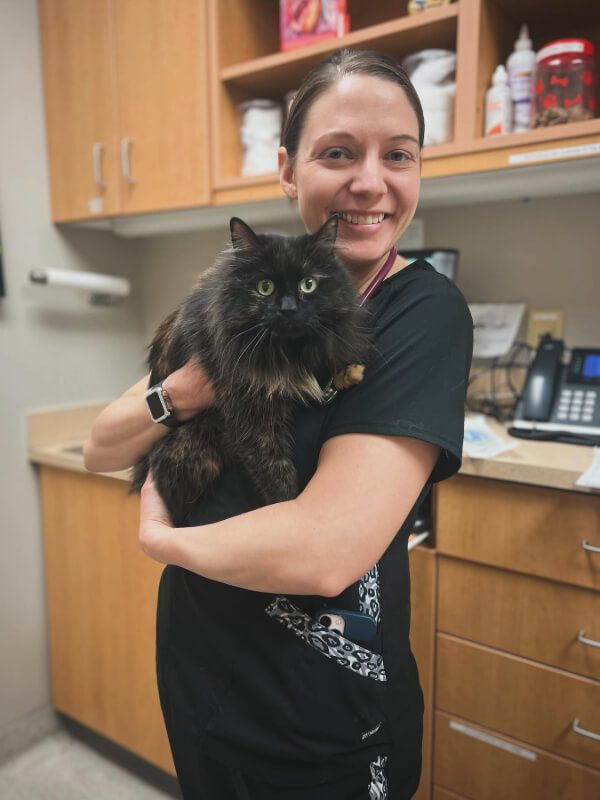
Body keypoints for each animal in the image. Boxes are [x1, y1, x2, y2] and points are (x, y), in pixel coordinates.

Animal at [131, 214, 370, 524]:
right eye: (265, 287)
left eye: (308, 284)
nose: (289, 309)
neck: (288, 351)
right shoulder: (250, 414)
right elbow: (275, 473)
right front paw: (284, 505)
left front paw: (347, 372)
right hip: (195, 448)